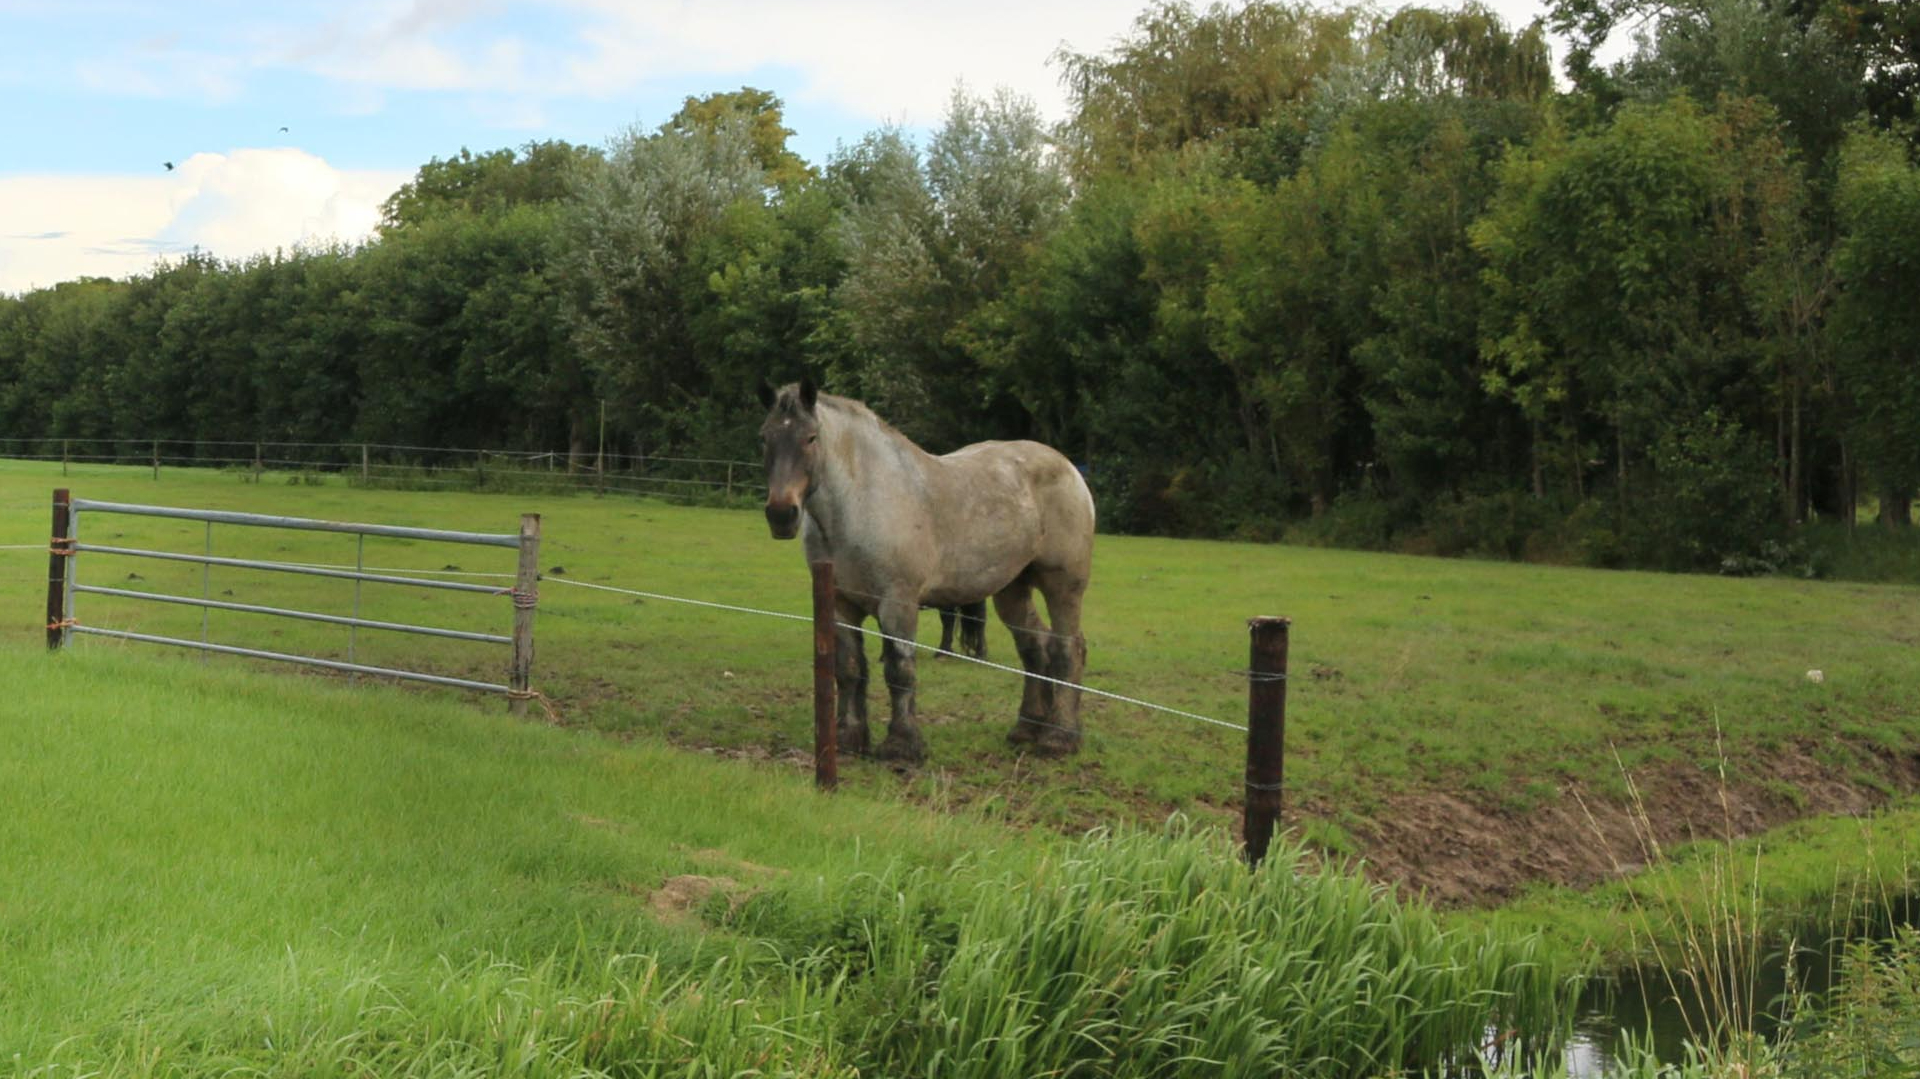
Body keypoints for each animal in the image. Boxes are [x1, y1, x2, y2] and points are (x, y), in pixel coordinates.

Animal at [758, 377, 1094, 762]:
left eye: (811, 438)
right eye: (765, 438)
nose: (781, 514)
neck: (862, 503)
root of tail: (1068, 468)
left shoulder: (898, 603)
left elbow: (900, 670)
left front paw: (902, 745)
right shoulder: (841, 605)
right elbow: (849, 669)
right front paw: (848, 738)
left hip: (1063, 585)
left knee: (1068, 648)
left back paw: (1059, 737)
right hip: (1011, 589)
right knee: (1034, 646)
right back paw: (1026, 729)